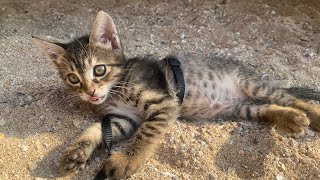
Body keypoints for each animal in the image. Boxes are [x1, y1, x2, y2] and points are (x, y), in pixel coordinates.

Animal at [32, 10, 320, 179]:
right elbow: (94, 129)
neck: (116, 89)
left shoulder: (163, 103)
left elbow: (145, 136)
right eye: (73, 79)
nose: (90, 93)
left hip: (251, 85)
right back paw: (293, 119)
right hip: (240, 108)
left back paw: (312, 115)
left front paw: (126, 160)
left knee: (289, 98)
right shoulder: (122, 119)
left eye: (99, 70)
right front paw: (77, 152)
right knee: (266, 108)